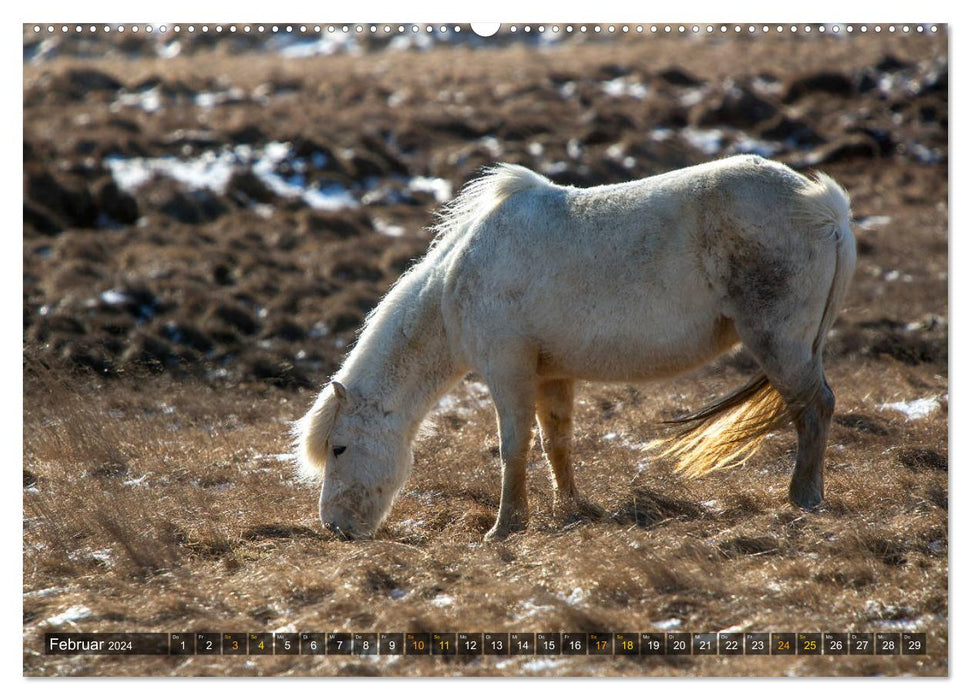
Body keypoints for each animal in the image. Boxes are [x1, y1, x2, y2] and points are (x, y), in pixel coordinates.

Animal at [292, 156, 856, 540]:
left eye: (339, 448)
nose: (335, 528)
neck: (459, 280)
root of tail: (825, 206)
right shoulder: (551, 375)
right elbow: (556, 443)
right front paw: (572, 510)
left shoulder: (508, 372)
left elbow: (513, 447)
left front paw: (505, 526)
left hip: (778, 342)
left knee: (814, 409)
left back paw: (803, 498)